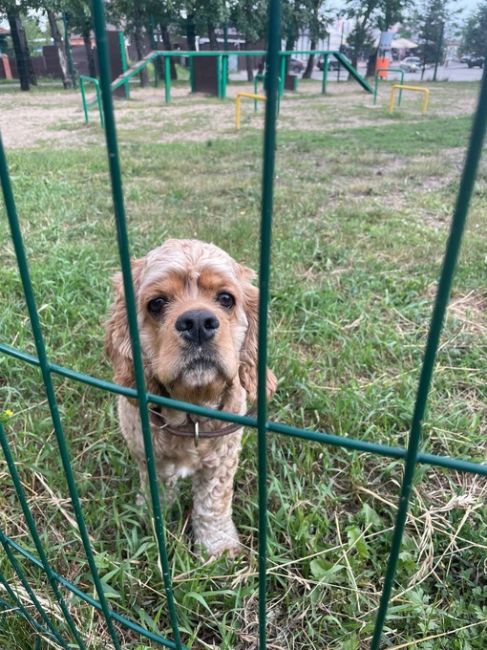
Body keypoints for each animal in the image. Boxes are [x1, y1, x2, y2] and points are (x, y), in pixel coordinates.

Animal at [104, 240, 276, 556]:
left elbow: (212, 505)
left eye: (226, 299)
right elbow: (156, 492)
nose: (197, 322)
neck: (191, 411)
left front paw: (218, 547)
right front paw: (150, 519)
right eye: (157, 303)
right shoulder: (149, 457)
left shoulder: (222, 461)